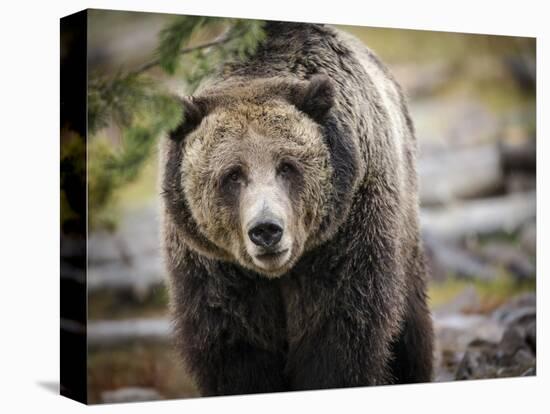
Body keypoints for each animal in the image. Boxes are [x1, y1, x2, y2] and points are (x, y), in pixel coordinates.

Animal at [160, 21, 436, 396]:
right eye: (232, 174)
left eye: (287, 166)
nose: (266, 230)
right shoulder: (213, 267)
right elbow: (234, 347)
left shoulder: (347, 234)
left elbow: (338, 334)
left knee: (410, 328)